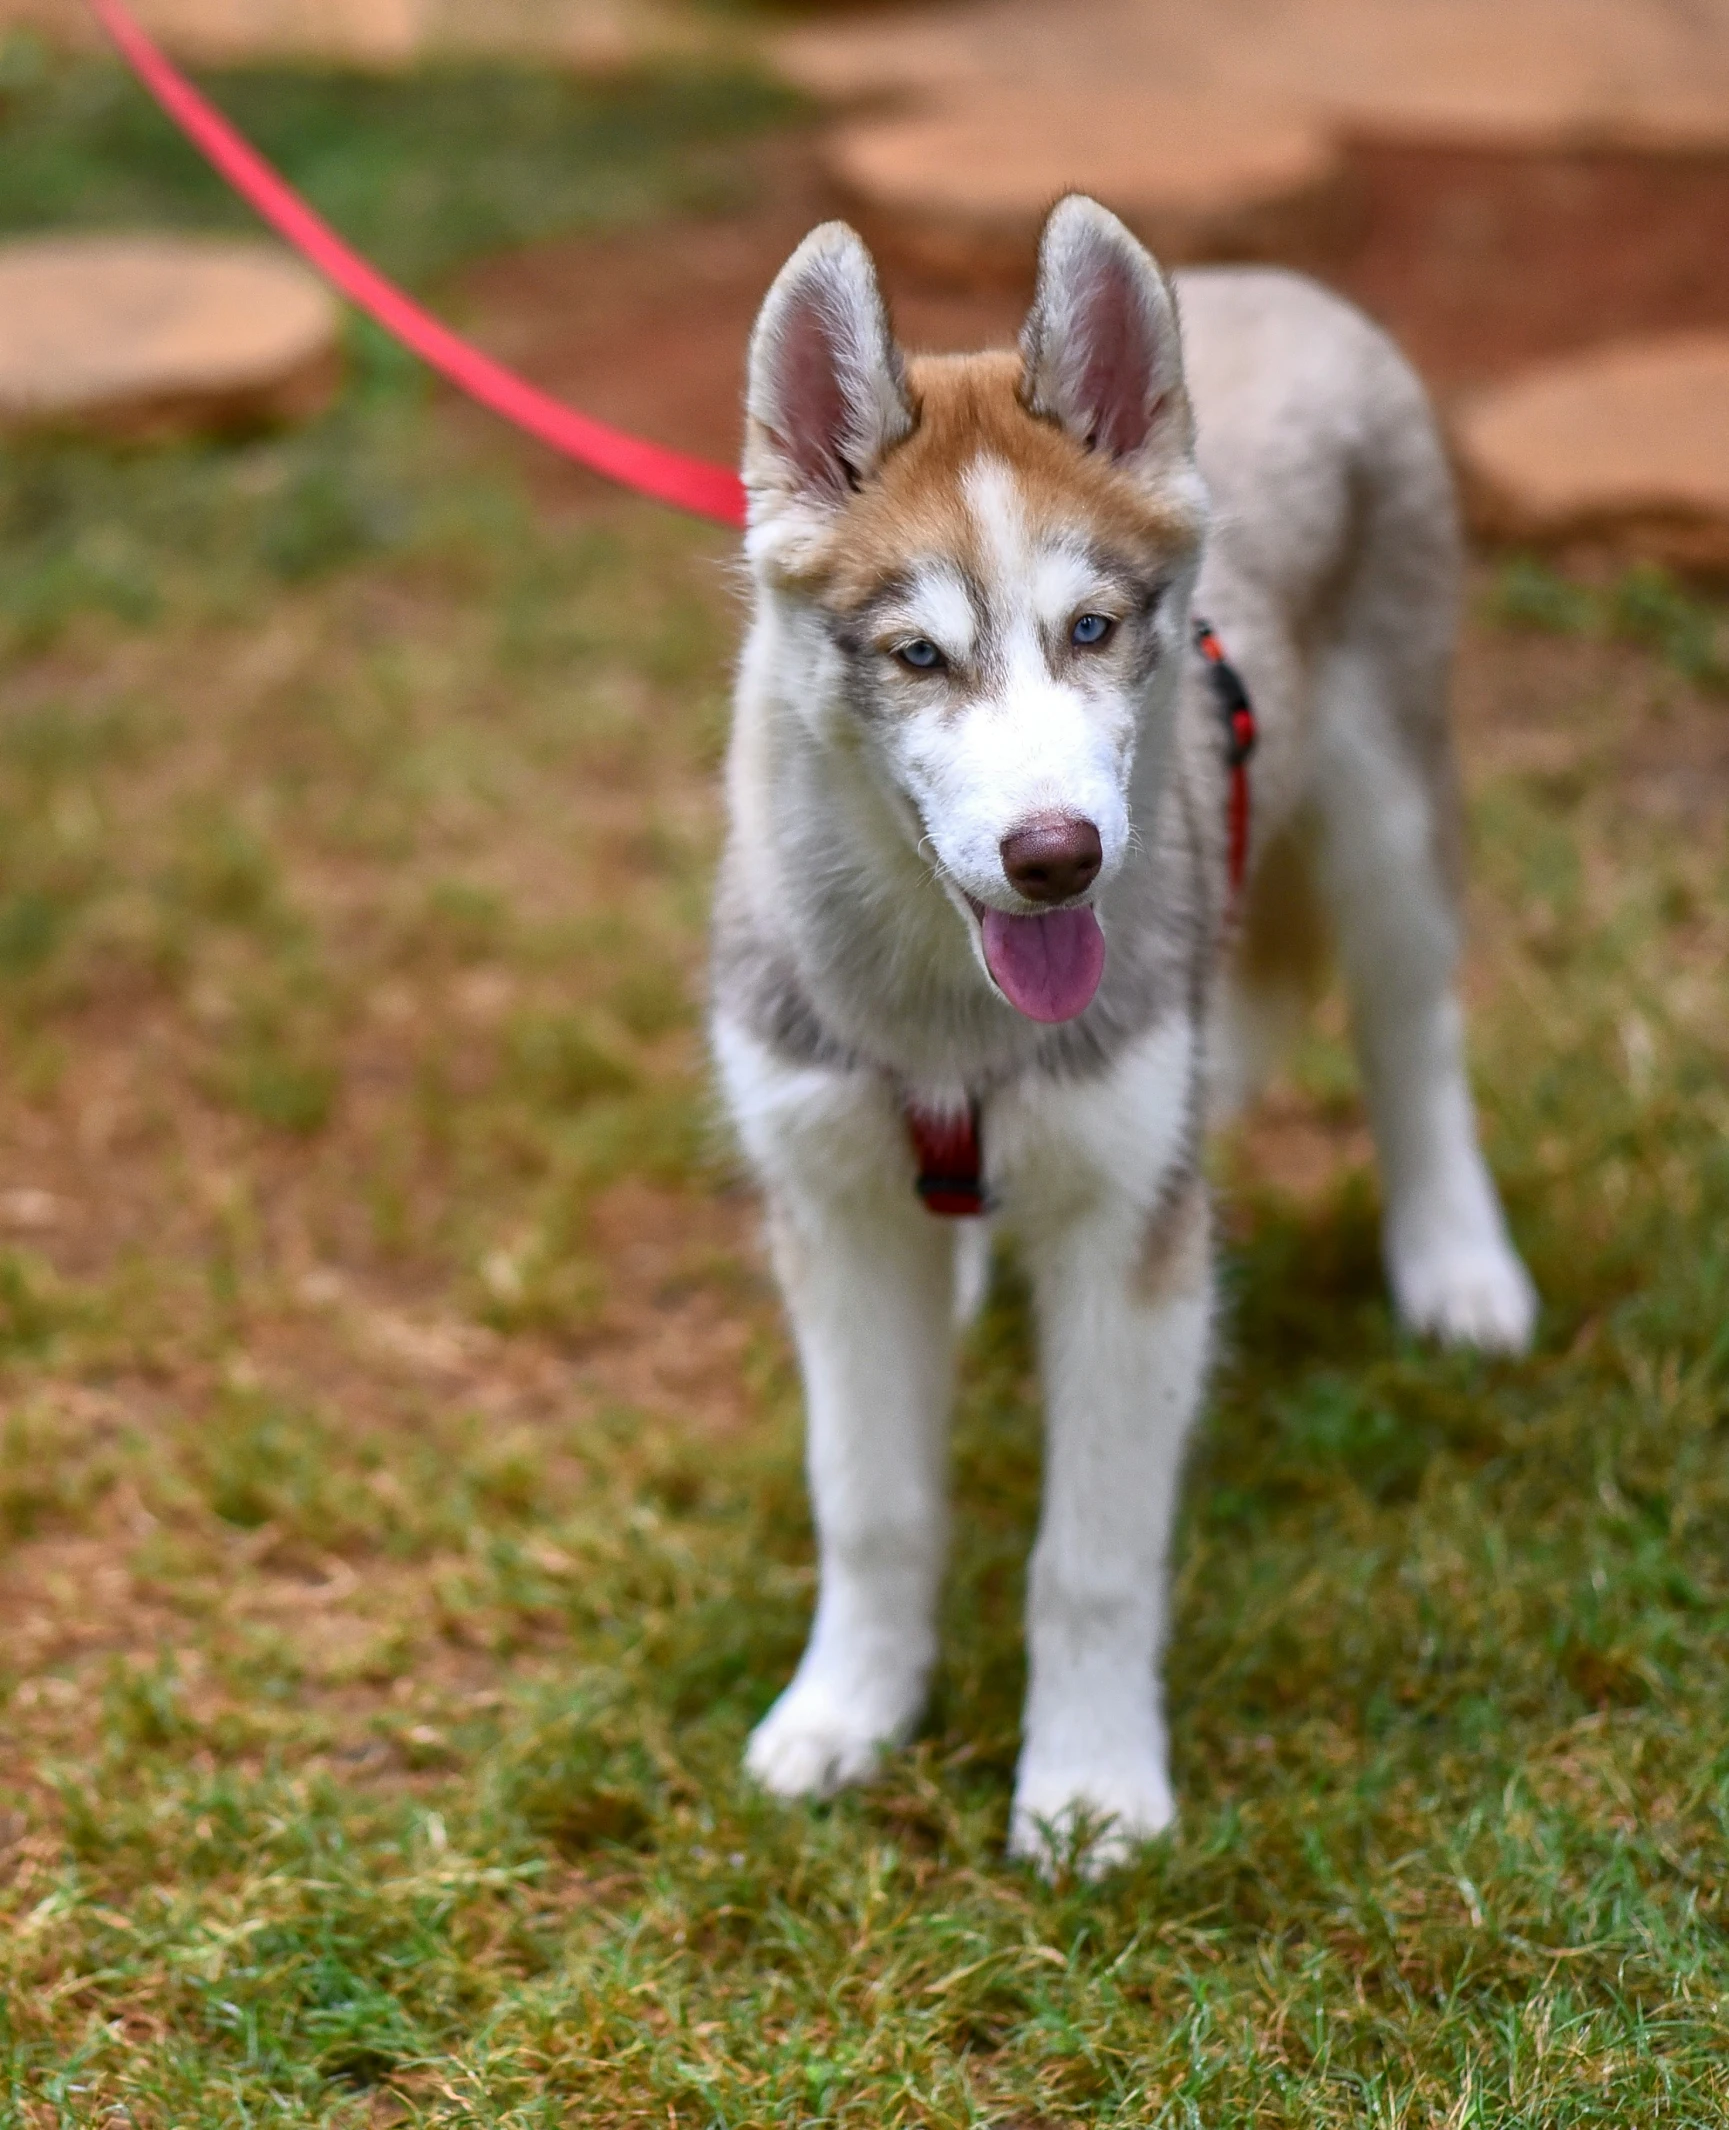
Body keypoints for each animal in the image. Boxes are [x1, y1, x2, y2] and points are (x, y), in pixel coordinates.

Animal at [711, 195, 1533, 1865]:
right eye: (917, 654)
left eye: (1089, 628)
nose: (1057, 857)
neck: (948, 1019)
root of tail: (1271, 278)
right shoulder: (830, 1205)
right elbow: (870, 1503)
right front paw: (845, 1713)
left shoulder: (1132, 1232)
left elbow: (1089, 1556)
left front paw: (1089, 1791)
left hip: (1389, 825)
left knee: (1414, 1043)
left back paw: (1457, 1267)